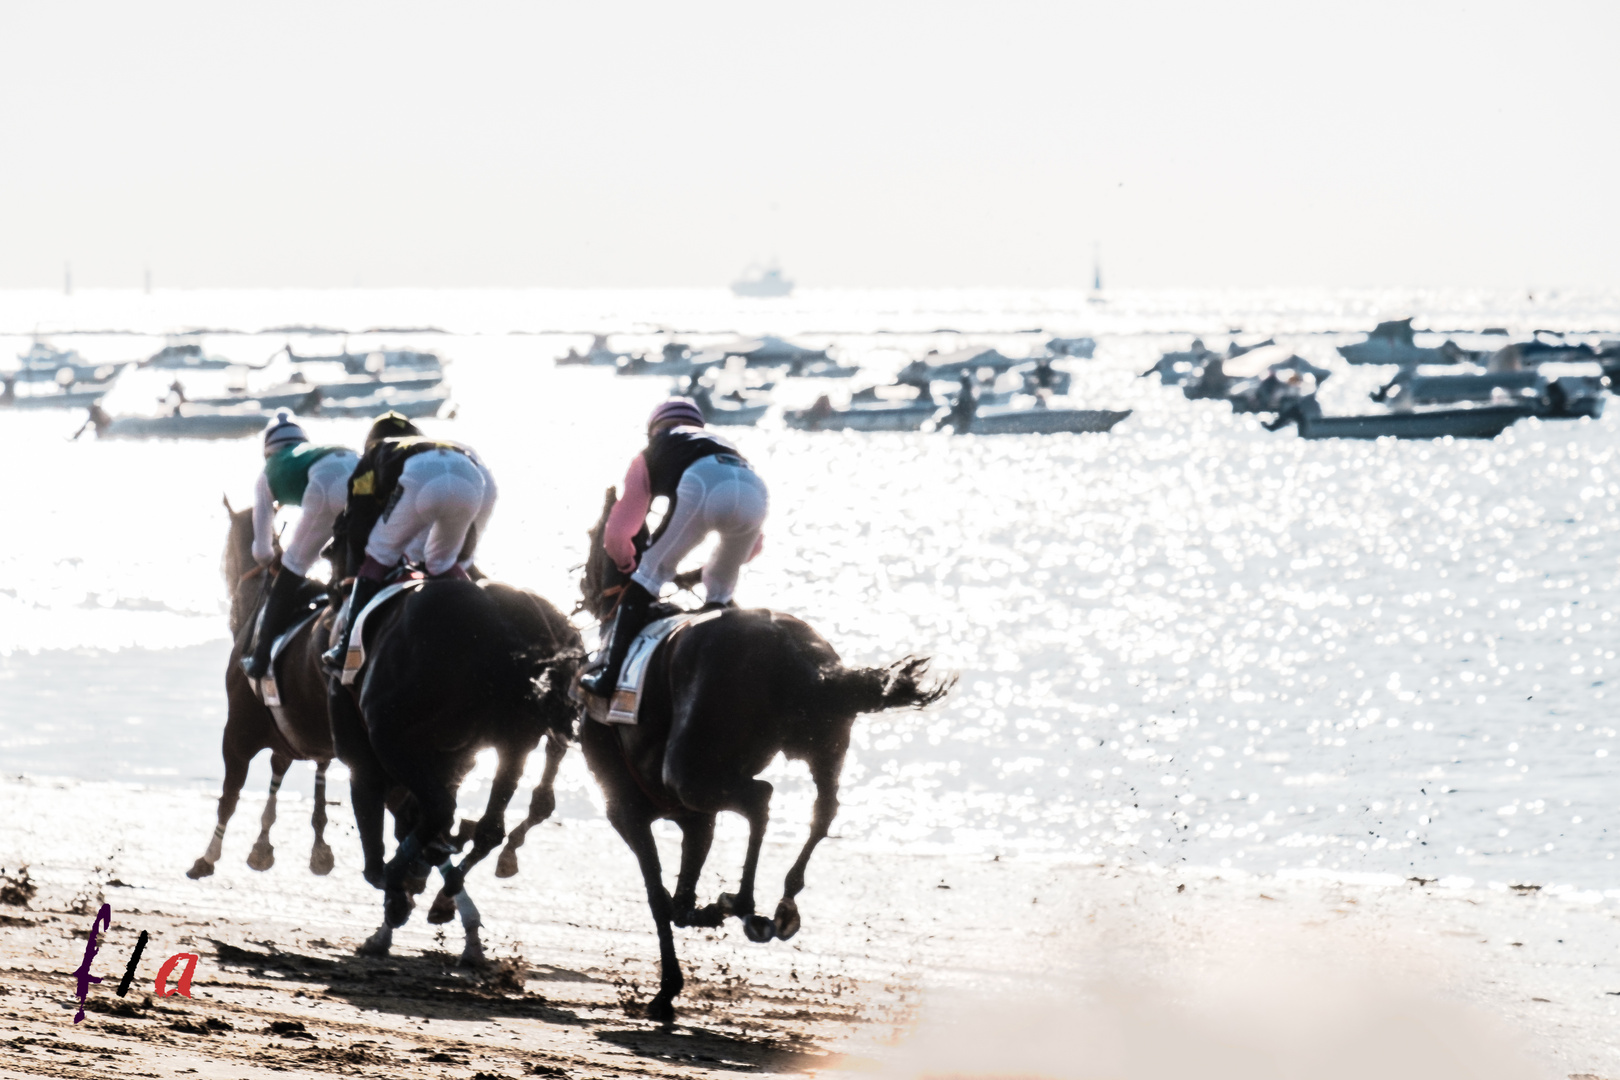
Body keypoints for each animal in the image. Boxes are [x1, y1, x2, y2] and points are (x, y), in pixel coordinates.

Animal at [324, 531, 583, 965]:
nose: (331, 571)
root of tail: (502, 620)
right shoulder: (454, 760)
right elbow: (434, 827)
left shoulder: (367, 757)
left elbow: (382, 847)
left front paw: (401, 894)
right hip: (514, 741)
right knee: (488, 828)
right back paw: (444, 889)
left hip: (395, 741)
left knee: (440, 816)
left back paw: (411, 883)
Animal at [579, 488, 946, 1023]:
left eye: (593, 534)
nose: (584, 585)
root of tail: (797, 653)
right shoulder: (694, 817)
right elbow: (679, 892)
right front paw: (700, 917)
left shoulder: (626, 808)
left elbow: (658, 896)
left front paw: (666, 990)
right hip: (823, 743)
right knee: (822, 811)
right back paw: (781, 902)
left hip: (690, 773)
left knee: (761, 797)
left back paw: (744, 901)